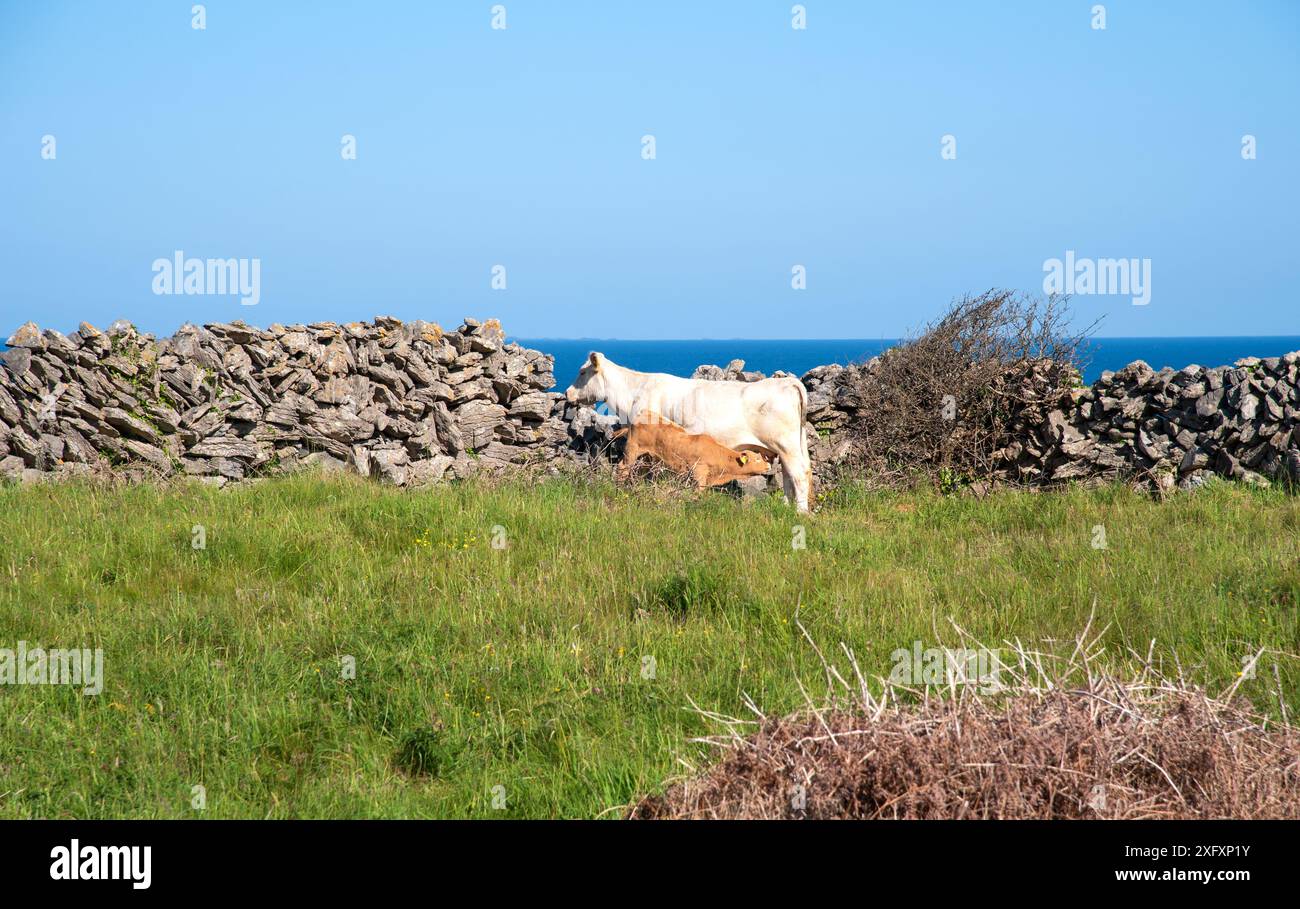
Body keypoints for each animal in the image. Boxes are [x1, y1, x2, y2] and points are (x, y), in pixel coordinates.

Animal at [613, 417, 774, 489]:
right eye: (757, 459)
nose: (769, 466)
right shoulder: (699, 473)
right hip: (632, 451)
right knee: (622, 468)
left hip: (646, 457)